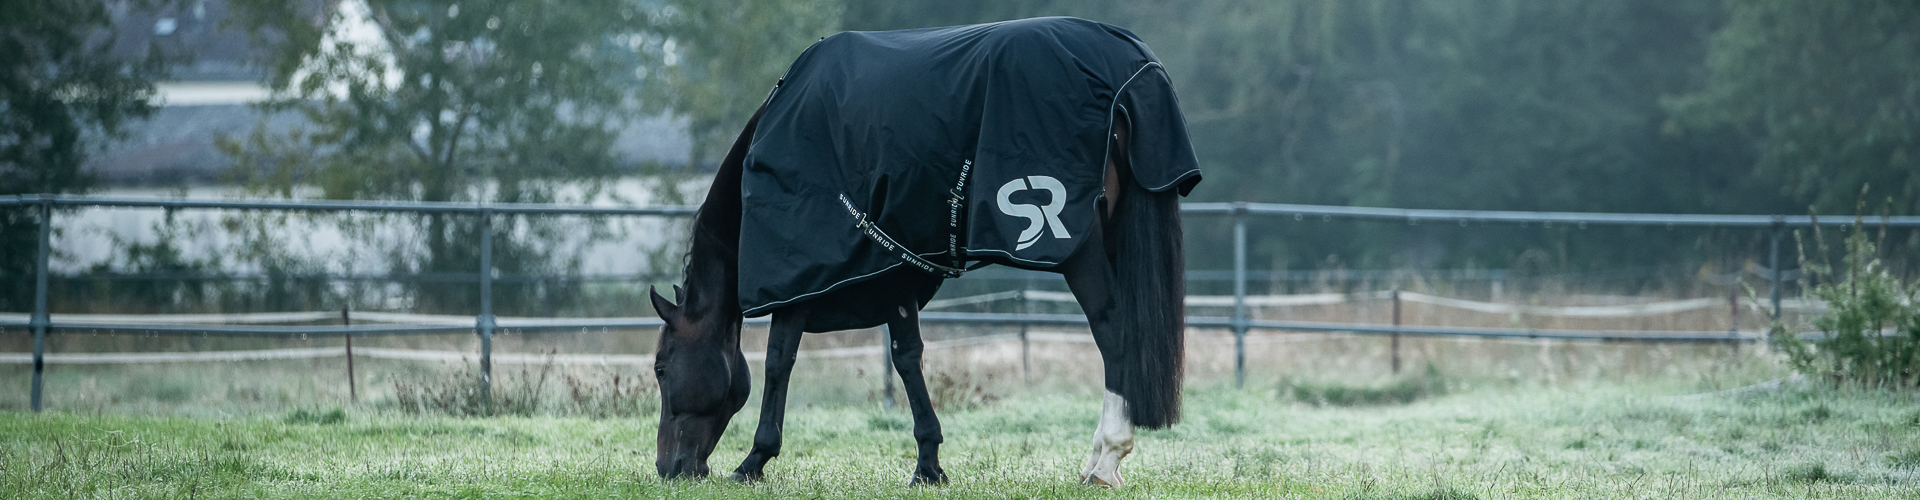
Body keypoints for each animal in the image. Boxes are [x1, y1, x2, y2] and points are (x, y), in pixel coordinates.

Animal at [645, 17, 1198, 486]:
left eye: (661, 368)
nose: (670, 468)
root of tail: (1130, 68)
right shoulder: (894, 271)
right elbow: (908, 358)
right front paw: (928, 465)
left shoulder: (800, 277)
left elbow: (780, 360)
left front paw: (755, 460)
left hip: (1076, 246)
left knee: (1114, 331)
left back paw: (1105, 458)